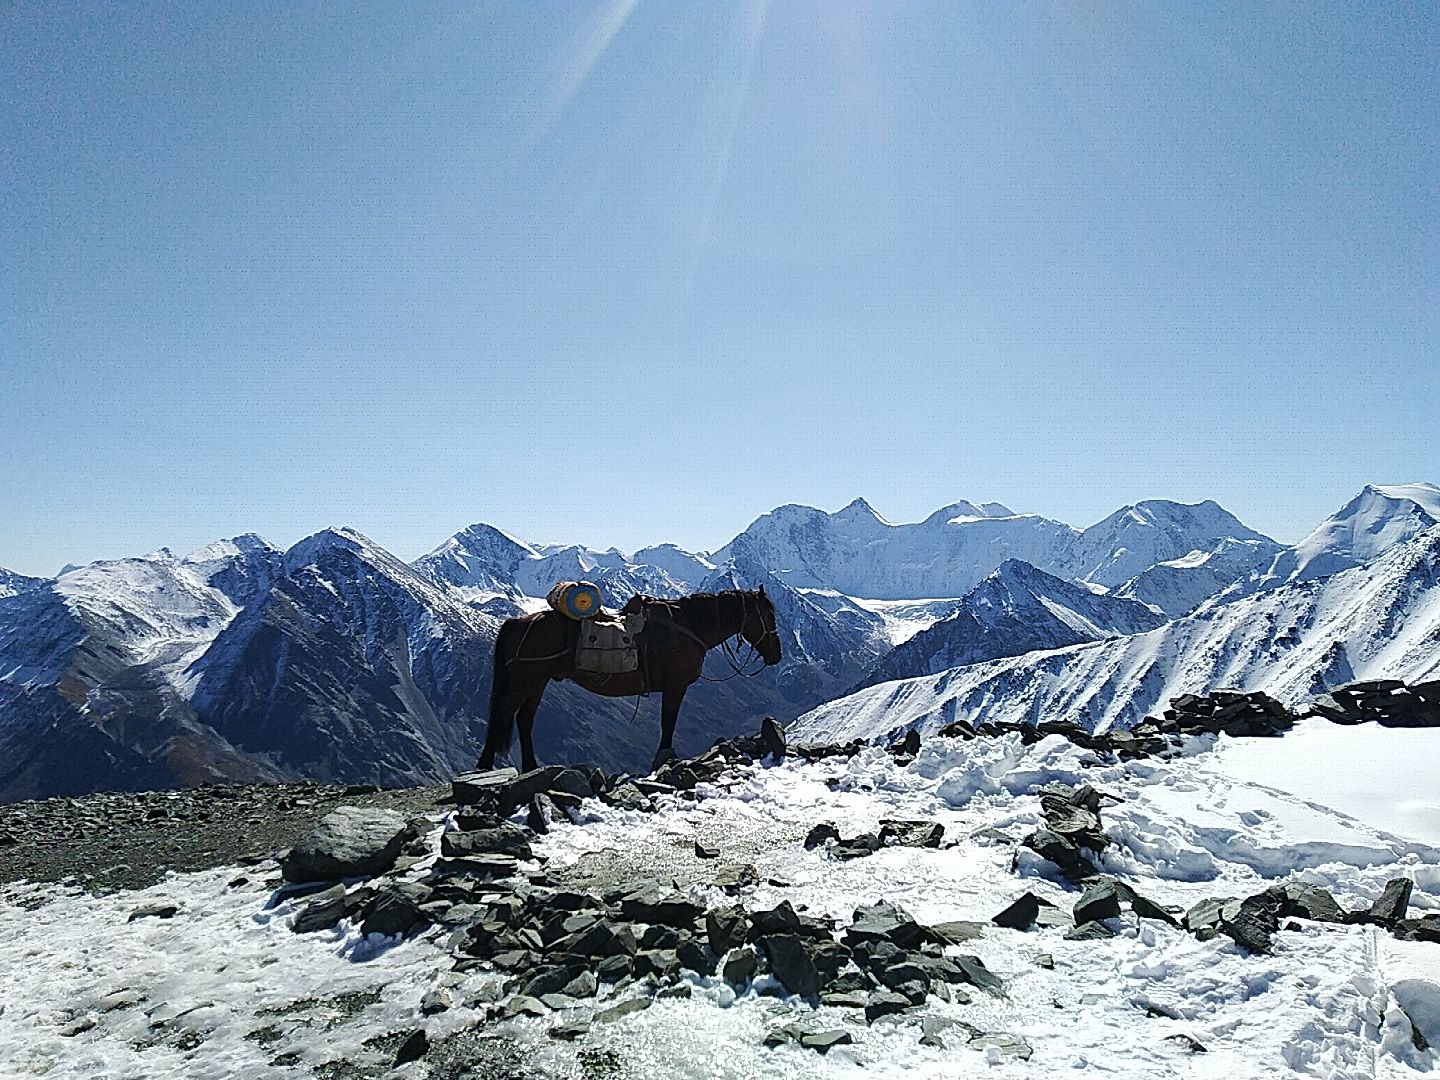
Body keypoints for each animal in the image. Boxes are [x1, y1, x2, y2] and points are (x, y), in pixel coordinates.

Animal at [478, 587, 783, 771]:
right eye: (768, 615)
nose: (777, 655)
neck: (688, 626)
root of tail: (518, 623)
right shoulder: (675, 687)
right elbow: (668, 723)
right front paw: (662, 758)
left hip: (538, 682)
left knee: (524, 720)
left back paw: (531, 767)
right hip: (524, 682)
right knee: (503, 717)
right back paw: (484, 766)